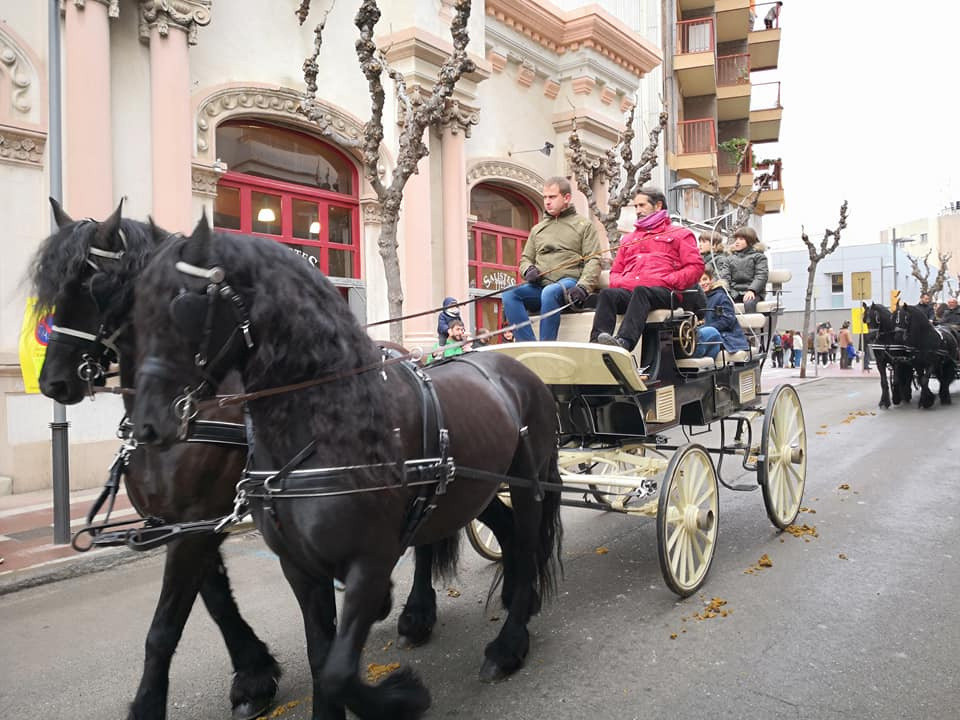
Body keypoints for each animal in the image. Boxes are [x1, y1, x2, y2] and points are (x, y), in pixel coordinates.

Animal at [127, 219, 564, 720]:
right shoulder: (297, 567)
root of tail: (517, 368)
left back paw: (508, 642)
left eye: (184, 303)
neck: (328, 423)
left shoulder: (369, 561)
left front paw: (403, 694)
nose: (148, 425)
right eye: (136, 310)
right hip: (475, 489)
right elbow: (322, 659)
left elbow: (339, 672)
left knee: (528, 544)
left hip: (528, 482)